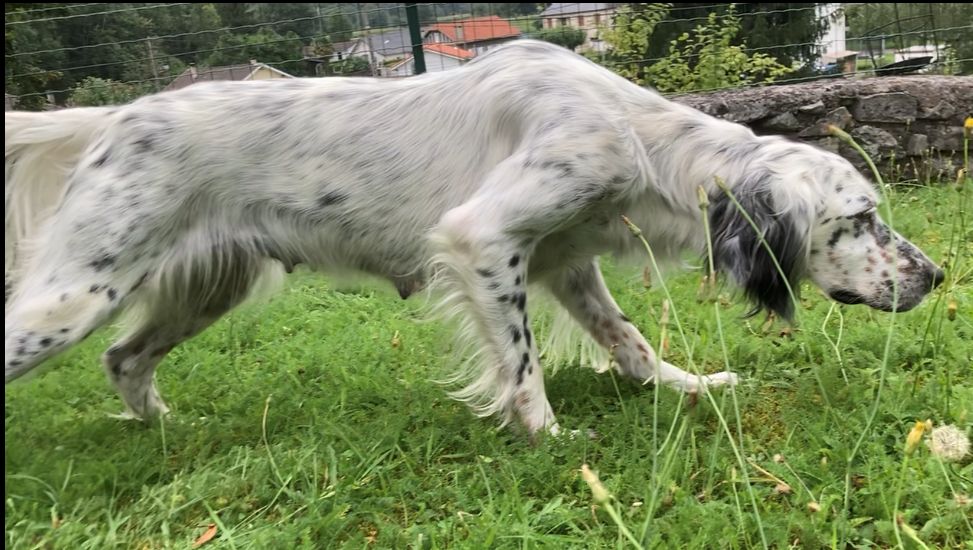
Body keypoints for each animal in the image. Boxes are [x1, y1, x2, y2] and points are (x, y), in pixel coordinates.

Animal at [1, 41, 940, 438]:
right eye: (860, 220)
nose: (933, 275)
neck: (637, 138)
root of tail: (116, 116)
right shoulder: (482, 241)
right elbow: (521, 366)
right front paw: (548, 439)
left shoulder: (565, 263)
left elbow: (630, 340)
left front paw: (687, 385)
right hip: (76, 292)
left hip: (204, 287)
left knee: (124, 359)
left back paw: (163, 430)